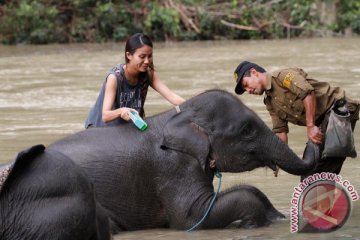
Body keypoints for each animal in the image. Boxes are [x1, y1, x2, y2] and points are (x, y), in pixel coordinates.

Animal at [46, 89, 320, 233]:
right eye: (247, 130)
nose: (316, 135)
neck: (181, 114)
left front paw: (277, 217)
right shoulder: (174, 167)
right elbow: (191, 217)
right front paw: (253, 224)